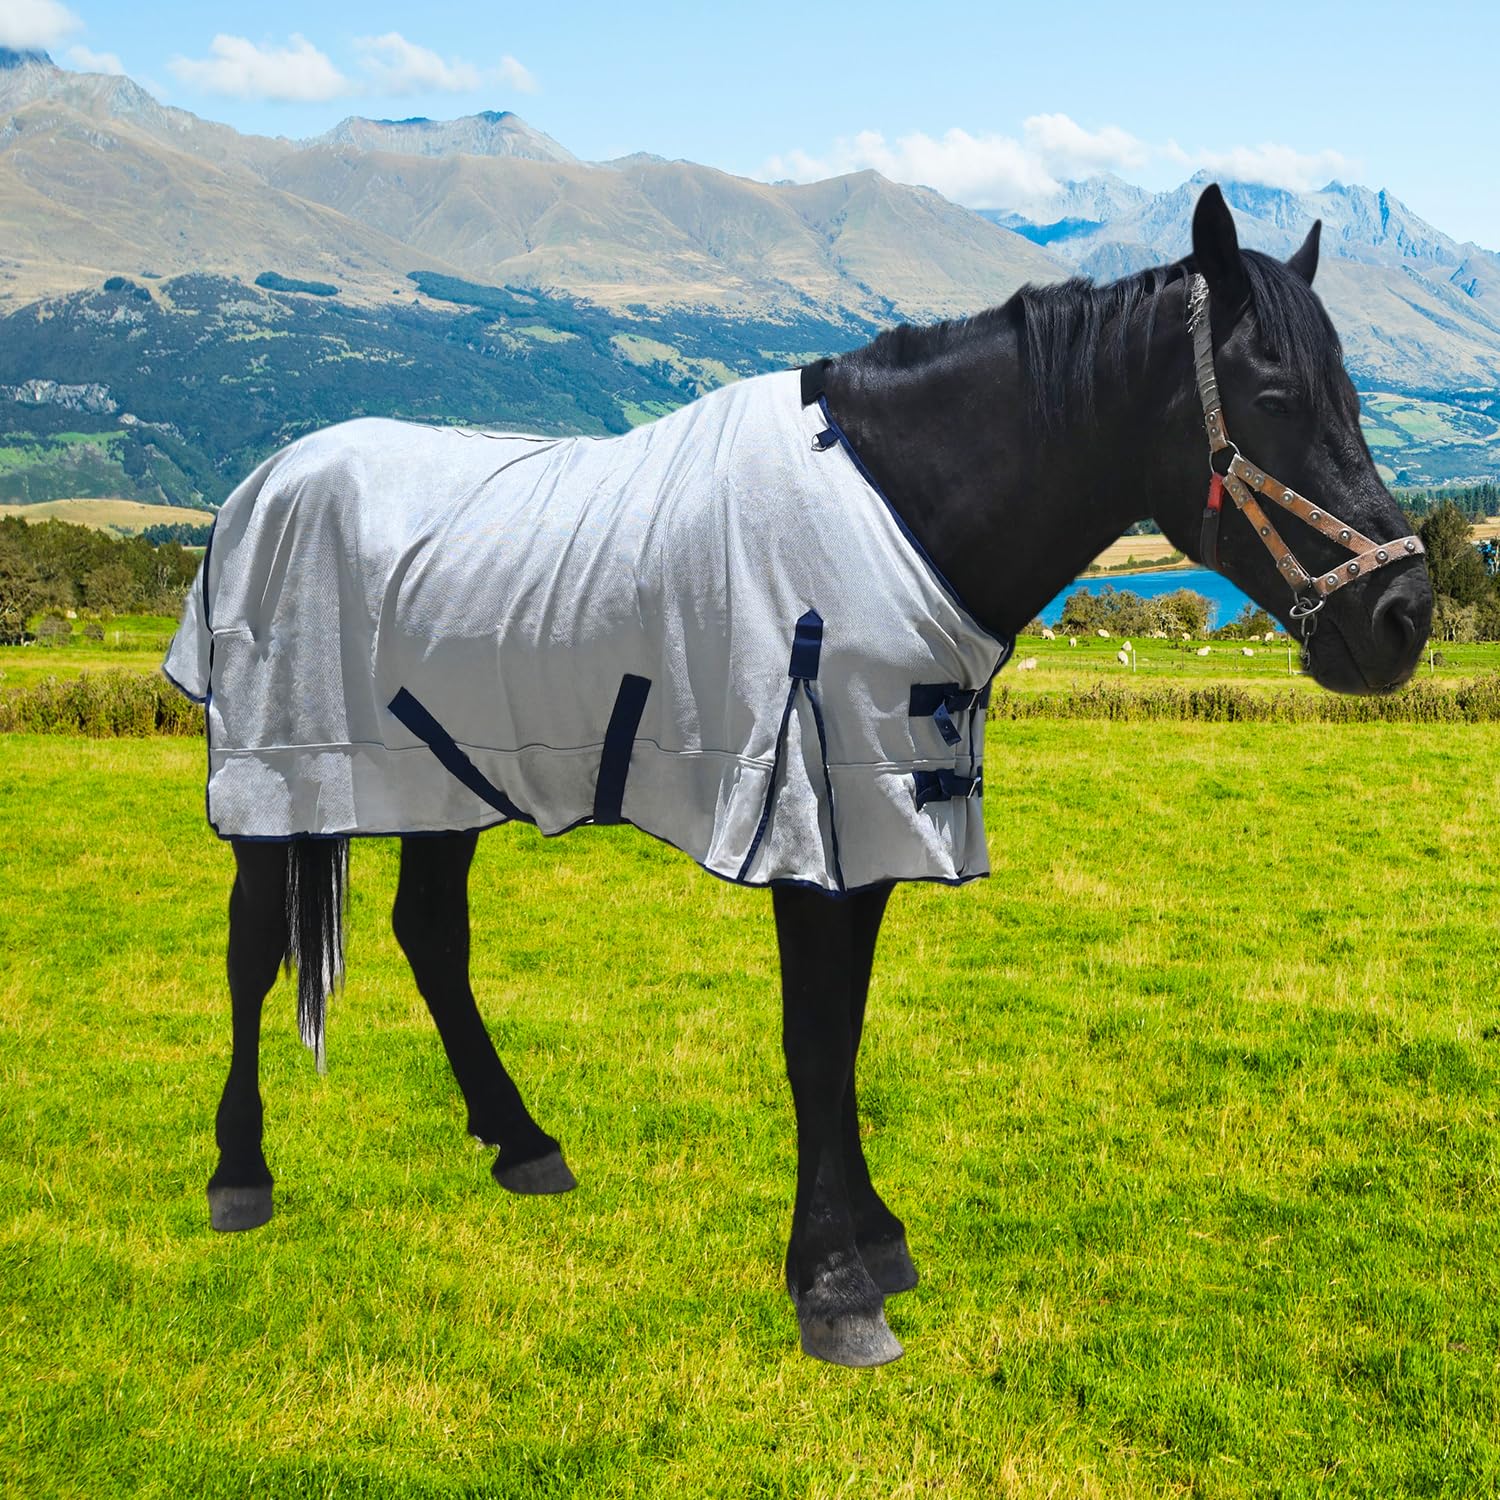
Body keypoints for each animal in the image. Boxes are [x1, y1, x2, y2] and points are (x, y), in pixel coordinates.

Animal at [169, 185, 1432, 1367]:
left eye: (1353, 397)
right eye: (1275, 399)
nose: (1404, 615)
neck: (899, 510)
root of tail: (264, 484)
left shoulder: (874, 813)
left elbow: (846, 1033)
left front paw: (874, 1238)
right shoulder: (808, 814)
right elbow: (814, 1043)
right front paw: (832, 1284)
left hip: (444, 773)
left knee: (430, 934)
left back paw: (522, 1143)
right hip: (279, 777)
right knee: (252, 951)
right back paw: (240, 1176)